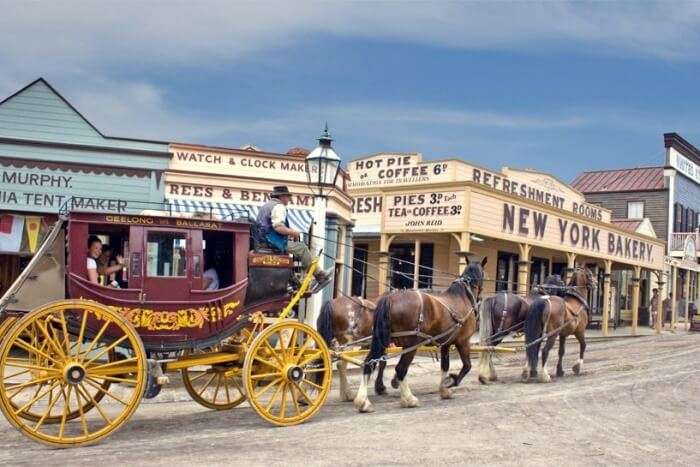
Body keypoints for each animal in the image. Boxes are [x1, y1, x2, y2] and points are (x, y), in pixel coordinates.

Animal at [352, 258, 484, 414]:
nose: (481, 298)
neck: (462, 297)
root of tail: (390, 298)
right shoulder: (463, 341)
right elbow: (467, 366)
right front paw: (451, 382)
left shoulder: (445, 343)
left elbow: (445, 366)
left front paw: (444, 390)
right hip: (411, 344)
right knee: (401, 369)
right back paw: (409, 399)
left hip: (381, 341)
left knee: (369, 363)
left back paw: (363, 402)